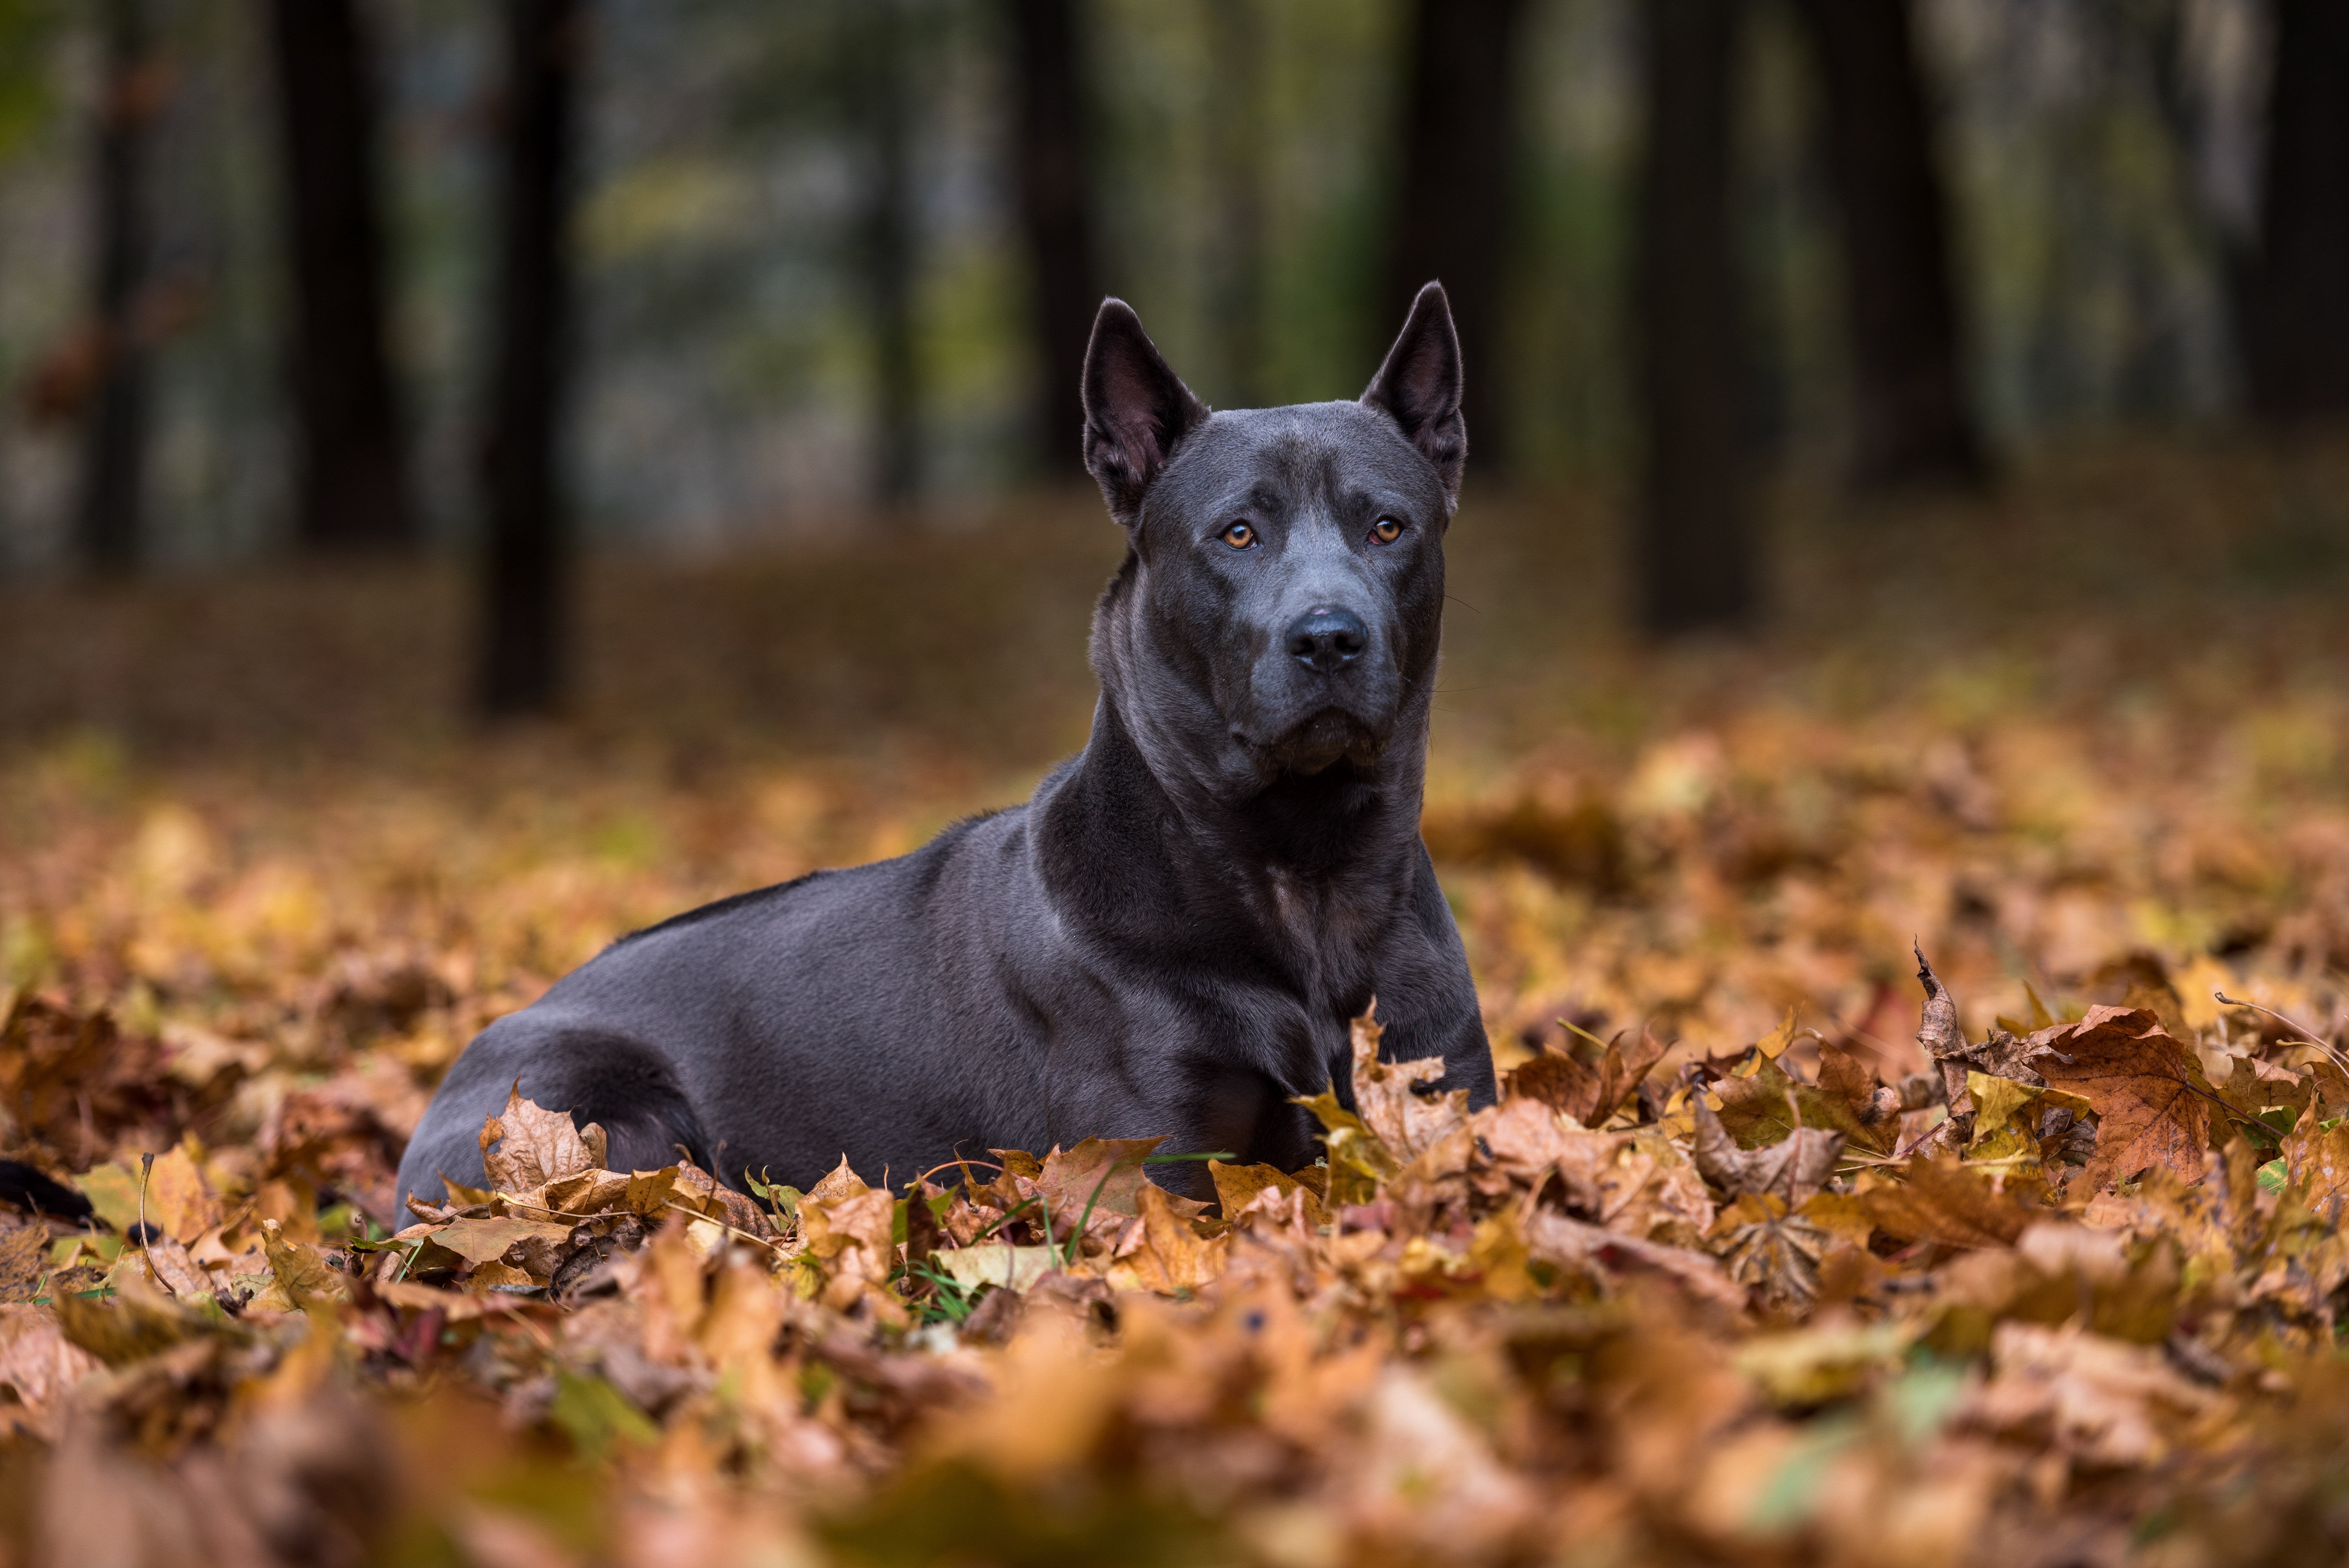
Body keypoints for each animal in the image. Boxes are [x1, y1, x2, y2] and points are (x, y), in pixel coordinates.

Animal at [385, 285, 1485, 1211]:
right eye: (1238, 534)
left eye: (1388, 528)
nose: (1330, 637)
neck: (1303, 871)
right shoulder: (1154, 1164)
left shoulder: (1444, 1099)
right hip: (603, 1112)